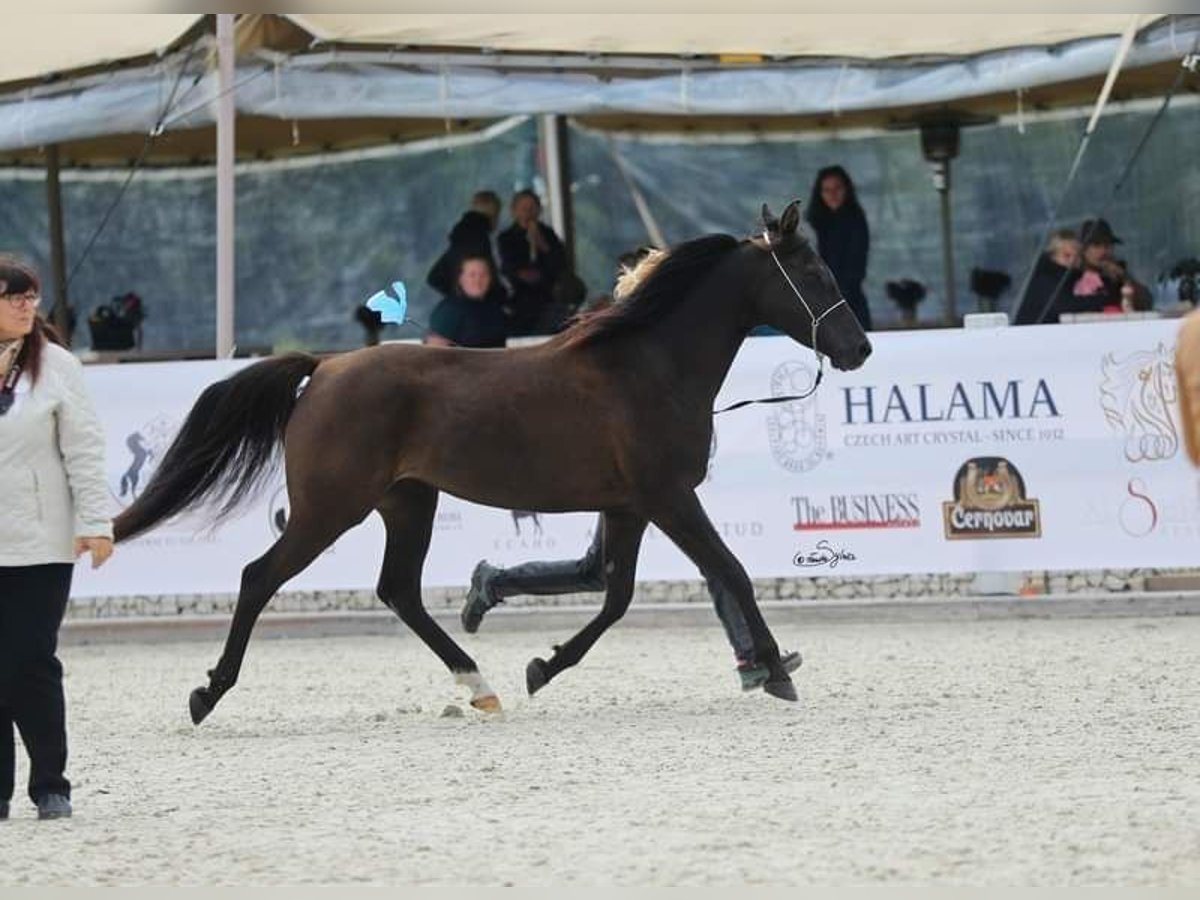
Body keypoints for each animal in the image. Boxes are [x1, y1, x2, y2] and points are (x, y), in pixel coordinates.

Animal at [114, 202, 873, 724]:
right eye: (811, 270)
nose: (859, 348)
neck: (648, 365)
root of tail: (324, 369)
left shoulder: (630, 506)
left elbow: (617, 595)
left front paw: (543, 666)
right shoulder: (669, 498)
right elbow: (731, 572)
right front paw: (777, 671)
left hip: (407, 503)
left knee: (399, 591)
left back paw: (481, 686)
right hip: (330, 510)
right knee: (258, 578)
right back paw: (208, 692)